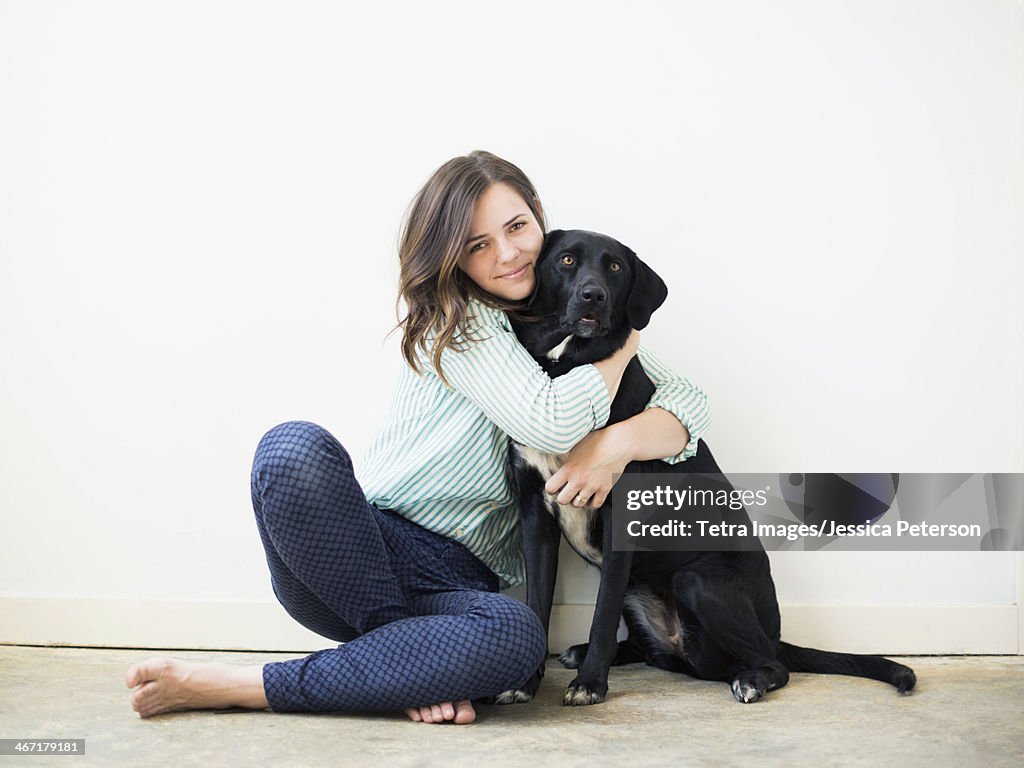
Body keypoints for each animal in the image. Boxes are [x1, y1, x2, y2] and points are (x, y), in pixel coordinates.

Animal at [499, 230, 917, 708]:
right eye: (567, 260)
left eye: (616, 267)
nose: (594, 295)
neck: (566, 367)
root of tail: (775, 634)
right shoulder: (536, 518)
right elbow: (536, 605)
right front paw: (525, 681)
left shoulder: (619, 517)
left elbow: (601, 617)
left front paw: (589, 684)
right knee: (648, 648)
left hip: (696, 581)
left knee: (774, 665)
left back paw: (752, 679)